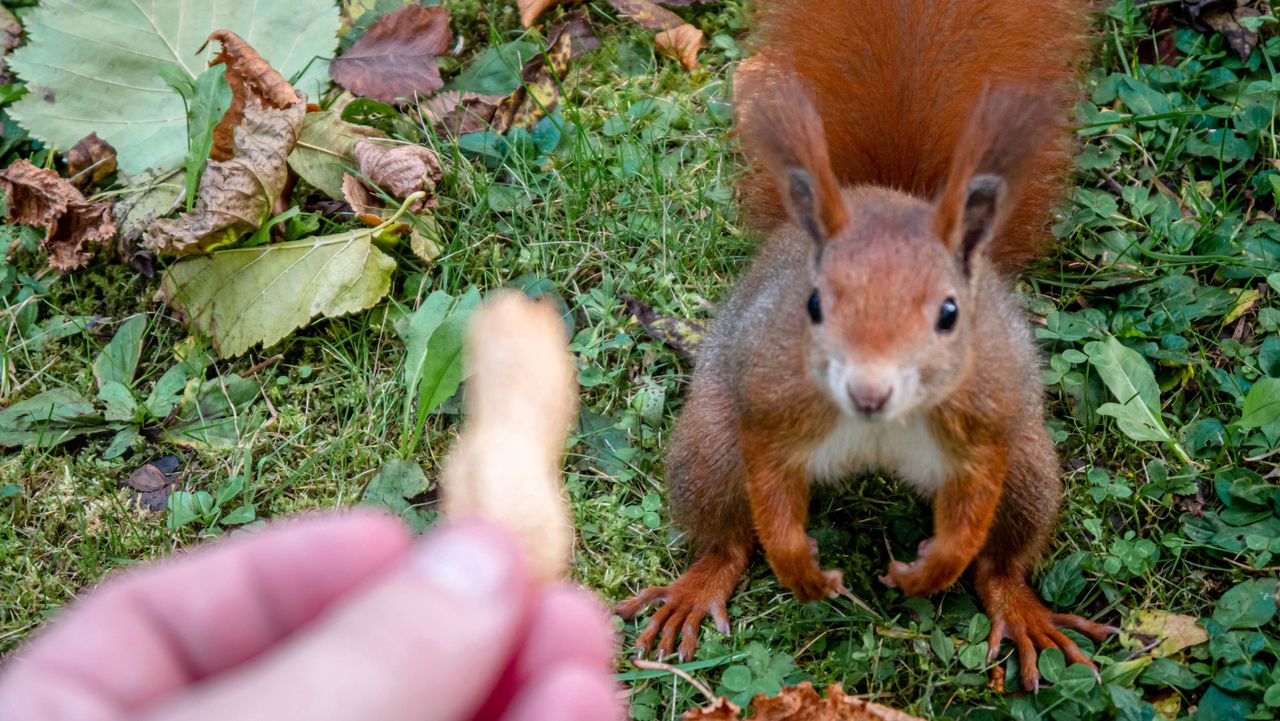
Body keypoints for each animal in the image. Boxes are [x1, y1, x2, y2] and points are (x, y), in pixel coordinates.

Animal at [614, 0, 1116, 691]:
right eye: (814, 304)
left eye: (951, 312)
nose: (869, 390)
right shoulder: (769, 395)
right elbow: (768, 482)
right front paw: (798, 566)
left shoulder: (988, 411)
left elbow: (974, 502)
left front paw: (934, 568)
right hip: (709, 446)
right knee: (727, 536)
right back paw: (699, 585)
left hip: (1028, 470)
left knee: (1002, 558)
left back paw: (1018, 608)